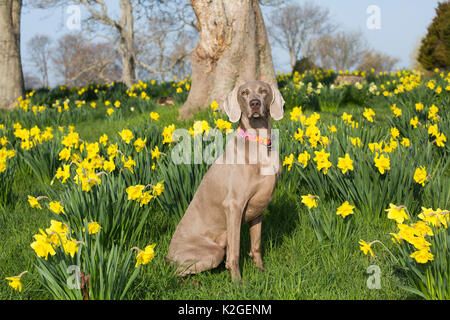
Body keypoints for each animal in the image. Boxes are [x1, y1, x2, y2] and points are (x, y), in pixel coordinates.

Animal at [165, 80, 284, 282]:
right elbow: (234, 252)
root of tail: (168, 255)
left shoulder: (259, 208)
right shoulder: (234, 206)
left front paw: (261, 271)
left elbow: (256, 245)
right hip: (212, 253)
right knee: (176, 273)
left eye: (263, 91)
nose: (254, 103)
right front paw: (238, 283)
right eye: (244, 92)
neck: (258, 142)